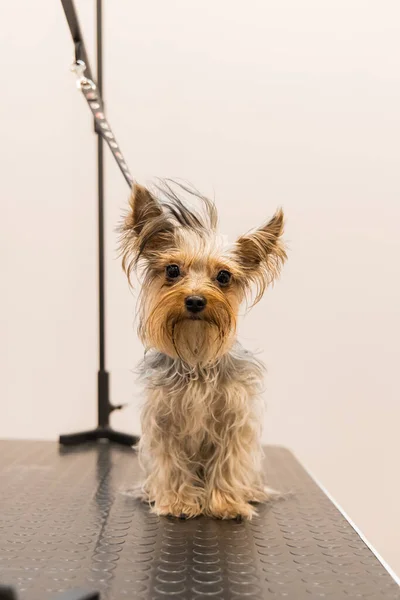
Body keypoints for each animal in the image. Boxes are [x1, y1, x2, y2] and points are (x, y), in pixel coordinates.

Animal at [120, 180, 286, 516]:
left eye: (223, 276)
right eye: (172, 270)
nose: (195, 300)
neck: (195, 354)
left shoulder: (235, 420)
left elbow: (228, 463)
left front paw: (226, 503)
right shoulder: (164, 421)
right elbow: (171, 464)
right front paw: (178, 501)